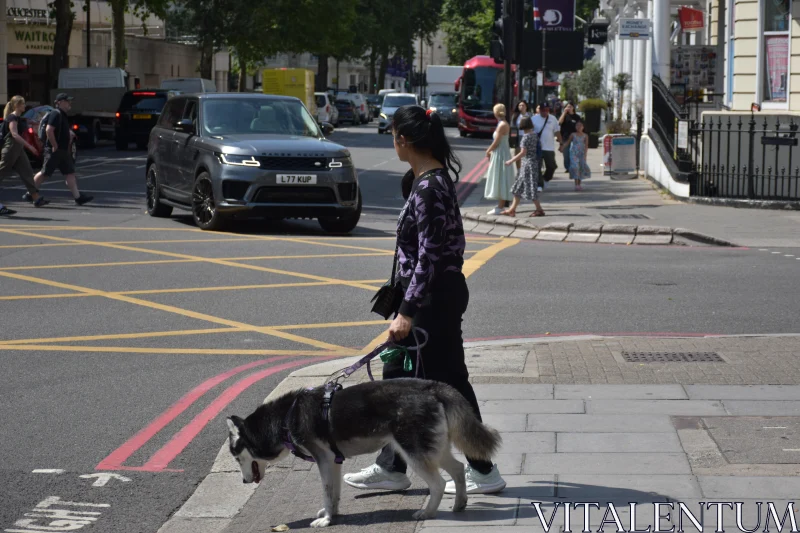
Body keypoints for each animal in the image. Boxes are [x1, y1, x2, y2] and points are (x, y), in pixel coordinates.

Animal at [227, 378, 500, 528]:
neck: (285, 417)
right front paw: (332, 514)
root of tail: (432, 387)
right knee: (457, 469)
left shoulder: (323, 460)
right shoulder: (333, 462)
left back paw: (428, 512)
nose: (243, 481)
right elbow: (334, 493)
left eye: (235, 456)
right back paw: (460, 503)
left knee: (439, 483)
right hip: (433, 449)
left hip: (414, 453)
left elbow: (327, 492)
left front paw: (326, 520)